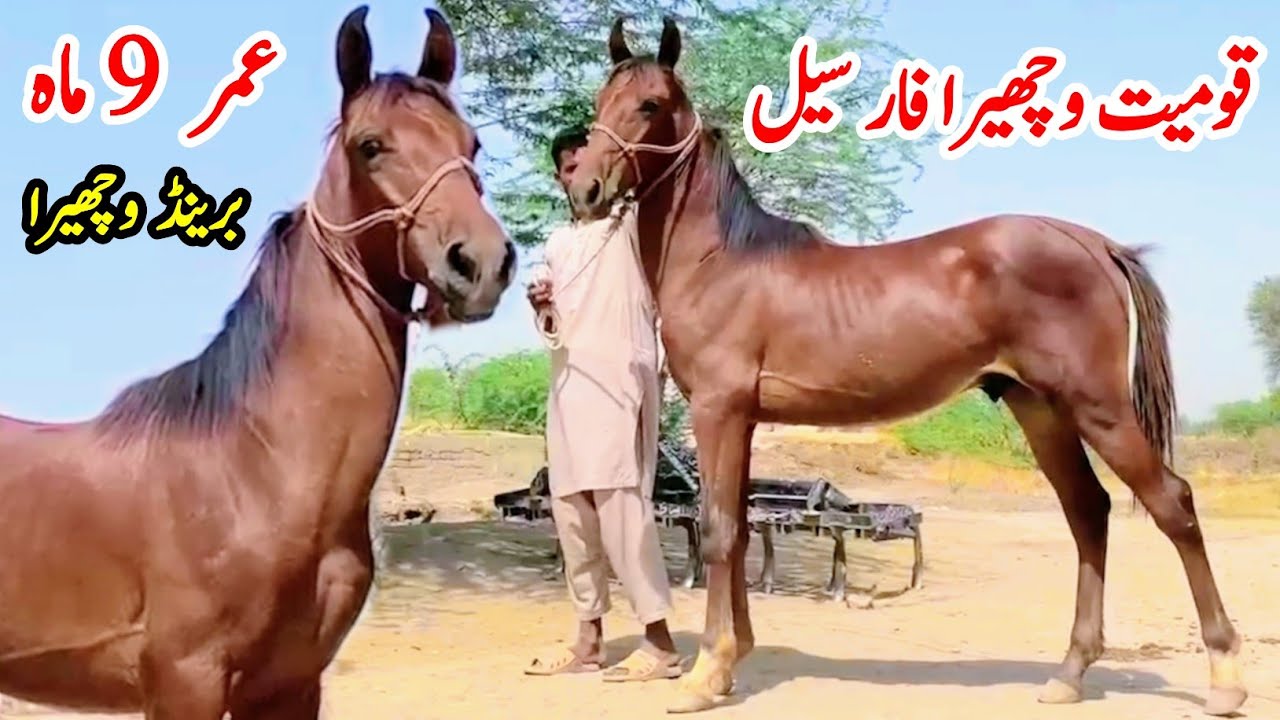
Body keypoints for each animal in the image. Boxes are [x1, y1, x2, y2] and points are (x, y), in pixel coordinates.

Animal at [0, 7, 514, 718]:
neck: (252, 470)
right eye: (371, 146)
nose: (481, 264)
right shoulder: (186, 680)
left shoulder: (293, 684)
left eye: (472, 145)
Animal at [566, 17, 1247, 716]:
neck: (722, 261)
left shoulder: (717, 411)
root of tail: (1095, 244)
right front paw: (731, 662)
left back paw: (1224, 675)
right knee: (1089, 513)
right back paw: (1070, 672)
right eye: (601, 99)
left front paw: (705, 675)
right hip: (1040, 408)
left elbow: (721, 529)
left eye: (650, 105)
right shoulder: (745, 420)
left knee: (1172, 503)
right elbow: (741, 525)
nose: (584, 190)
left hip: (1096, 406)